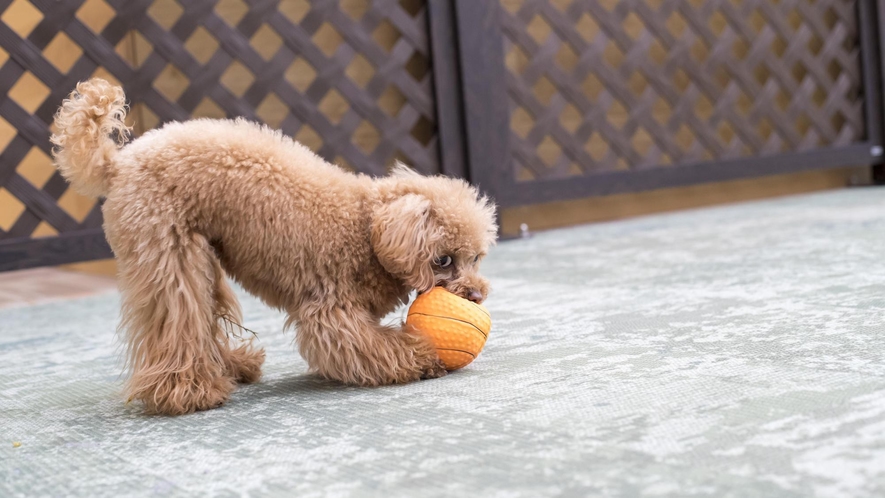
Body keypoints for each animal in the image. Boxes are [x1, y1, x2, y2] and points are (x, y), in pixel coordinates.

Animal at [51, 78, 498, 414]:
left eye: (476, 257)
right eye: (443, 259)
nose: (476, 295)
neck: (367, 227)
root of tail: (117, 164)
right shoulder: (331, 310)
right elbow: (370, 345)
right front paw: (424, 358)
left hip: (199, 256)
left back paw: (233, 367)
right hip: (166, 250)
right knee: (180, 322)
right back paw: (191, 392)